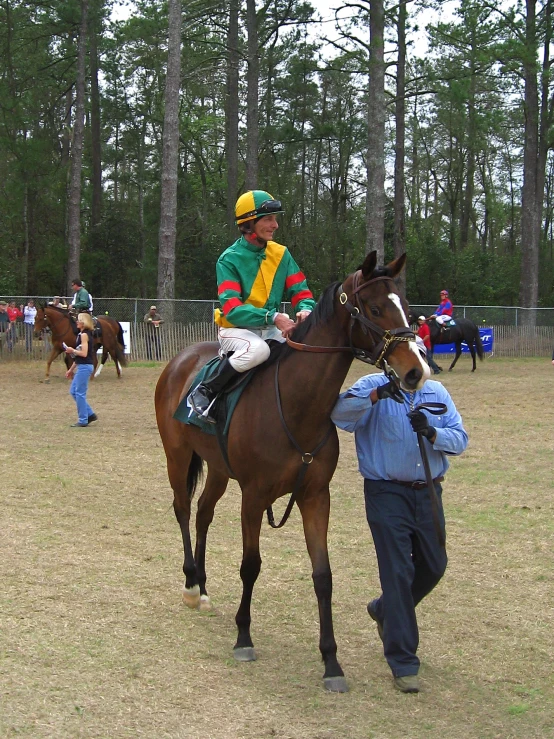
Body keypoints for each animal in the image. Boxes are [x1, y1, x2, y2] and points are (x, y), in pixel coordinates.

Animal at [155, 253, 432, 692]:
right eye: (374, 309)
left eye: (405, 305)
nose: (415, 371)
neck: (297, 406)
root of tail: (180, 361)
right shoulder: (253, 497)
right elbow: (251, 566)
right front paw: (244, 637)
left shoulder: (316, 497)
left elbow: (323, 575)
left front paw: (331, 662)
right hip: (177, 455)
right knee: (183, 510)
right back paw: (190, 584)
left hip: (218, 469)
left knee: (203, 513)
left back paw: (203, 583)